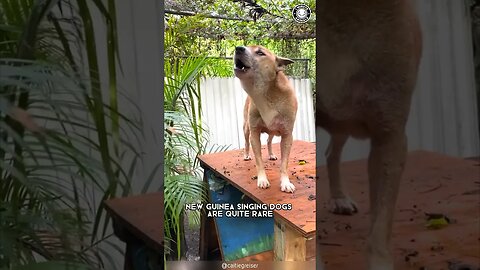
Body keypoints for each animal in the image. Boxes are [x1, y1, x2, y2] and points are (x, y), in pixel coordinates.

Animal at [234, 45, 298, 193]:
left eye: (260, 52)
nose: (238, 48)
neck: (266, 94)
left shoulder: (287, 135)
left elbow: (284, 164)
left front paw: (285, 182)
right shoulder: (254, 133)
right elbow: (259, 161)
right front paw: (262, 179)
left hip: (273, 131)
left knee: (269, 141)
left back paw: (271, 154)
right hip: (246, 128)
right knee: (246, 142)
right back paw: (246, 155)